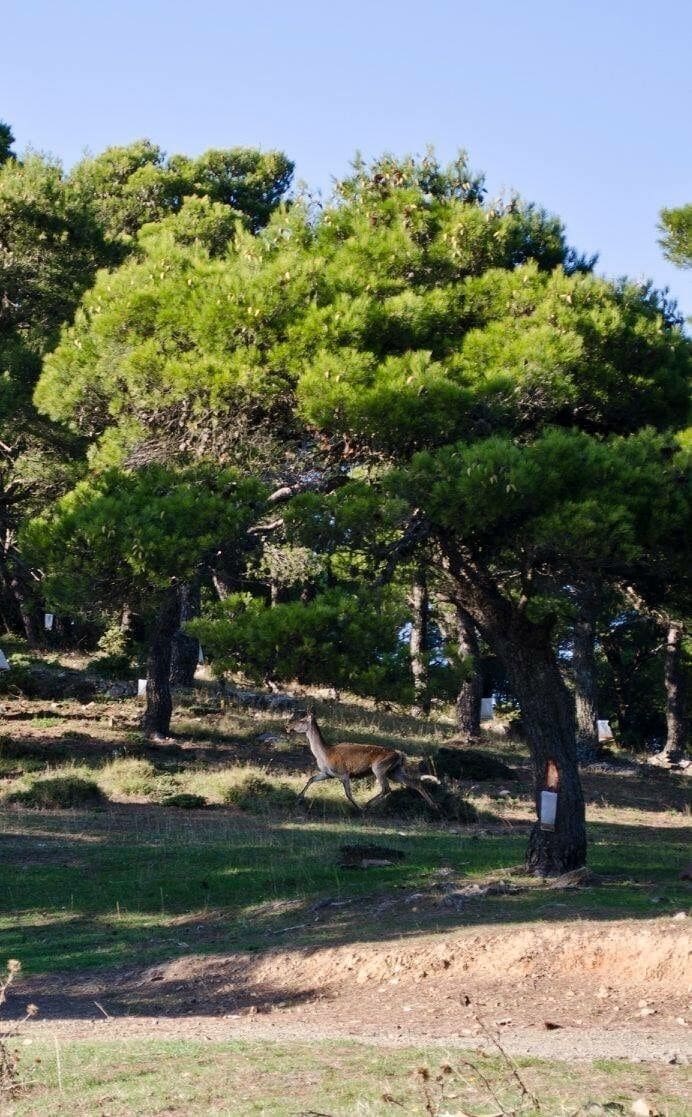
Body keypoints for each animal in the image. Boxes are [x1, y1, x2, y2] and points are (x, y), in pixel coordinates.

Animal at [285, 709, 439, 811]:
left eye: (302, 720)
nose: (287, 726)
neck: (325, 753)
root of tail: (400, 754)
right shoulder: (328, 773)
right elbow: (311, 779)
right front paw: (298, 799)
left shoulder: (343, 773)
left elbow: (348, 793)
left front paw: (358, 807)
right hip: (395, 771)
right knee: (415, 783)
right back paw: (435, 806)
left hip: (379, 768)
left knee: (386, 788)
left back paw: (367, 805)